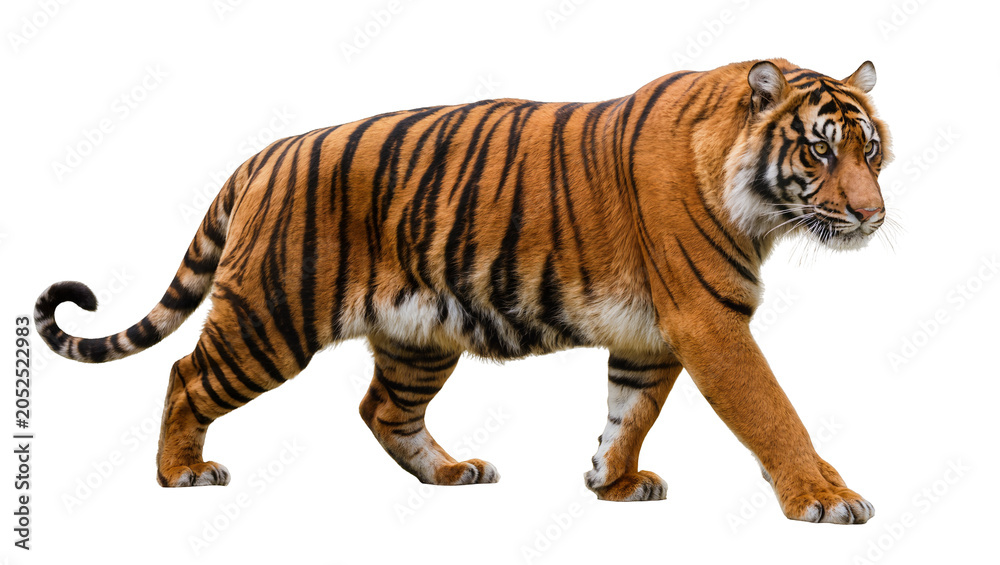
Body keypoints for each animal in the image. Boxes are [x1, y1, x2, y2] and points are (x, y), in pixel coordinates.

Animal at [35, 58, 890, 524]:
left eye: (871, 149)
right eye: (820, 151)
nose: (873, 214)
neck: (761, 210)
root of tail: (266, 153)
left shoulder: (648, 339)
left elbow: (630, 414)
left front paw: (611, 481)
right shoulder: (710, 323)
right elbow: (773, 412)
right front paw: (826, 497)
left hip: (418, 338)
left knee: (381, 409)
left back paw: (451, 472)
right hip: (271, 317)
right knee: (185, 374)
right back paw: (180, 472)